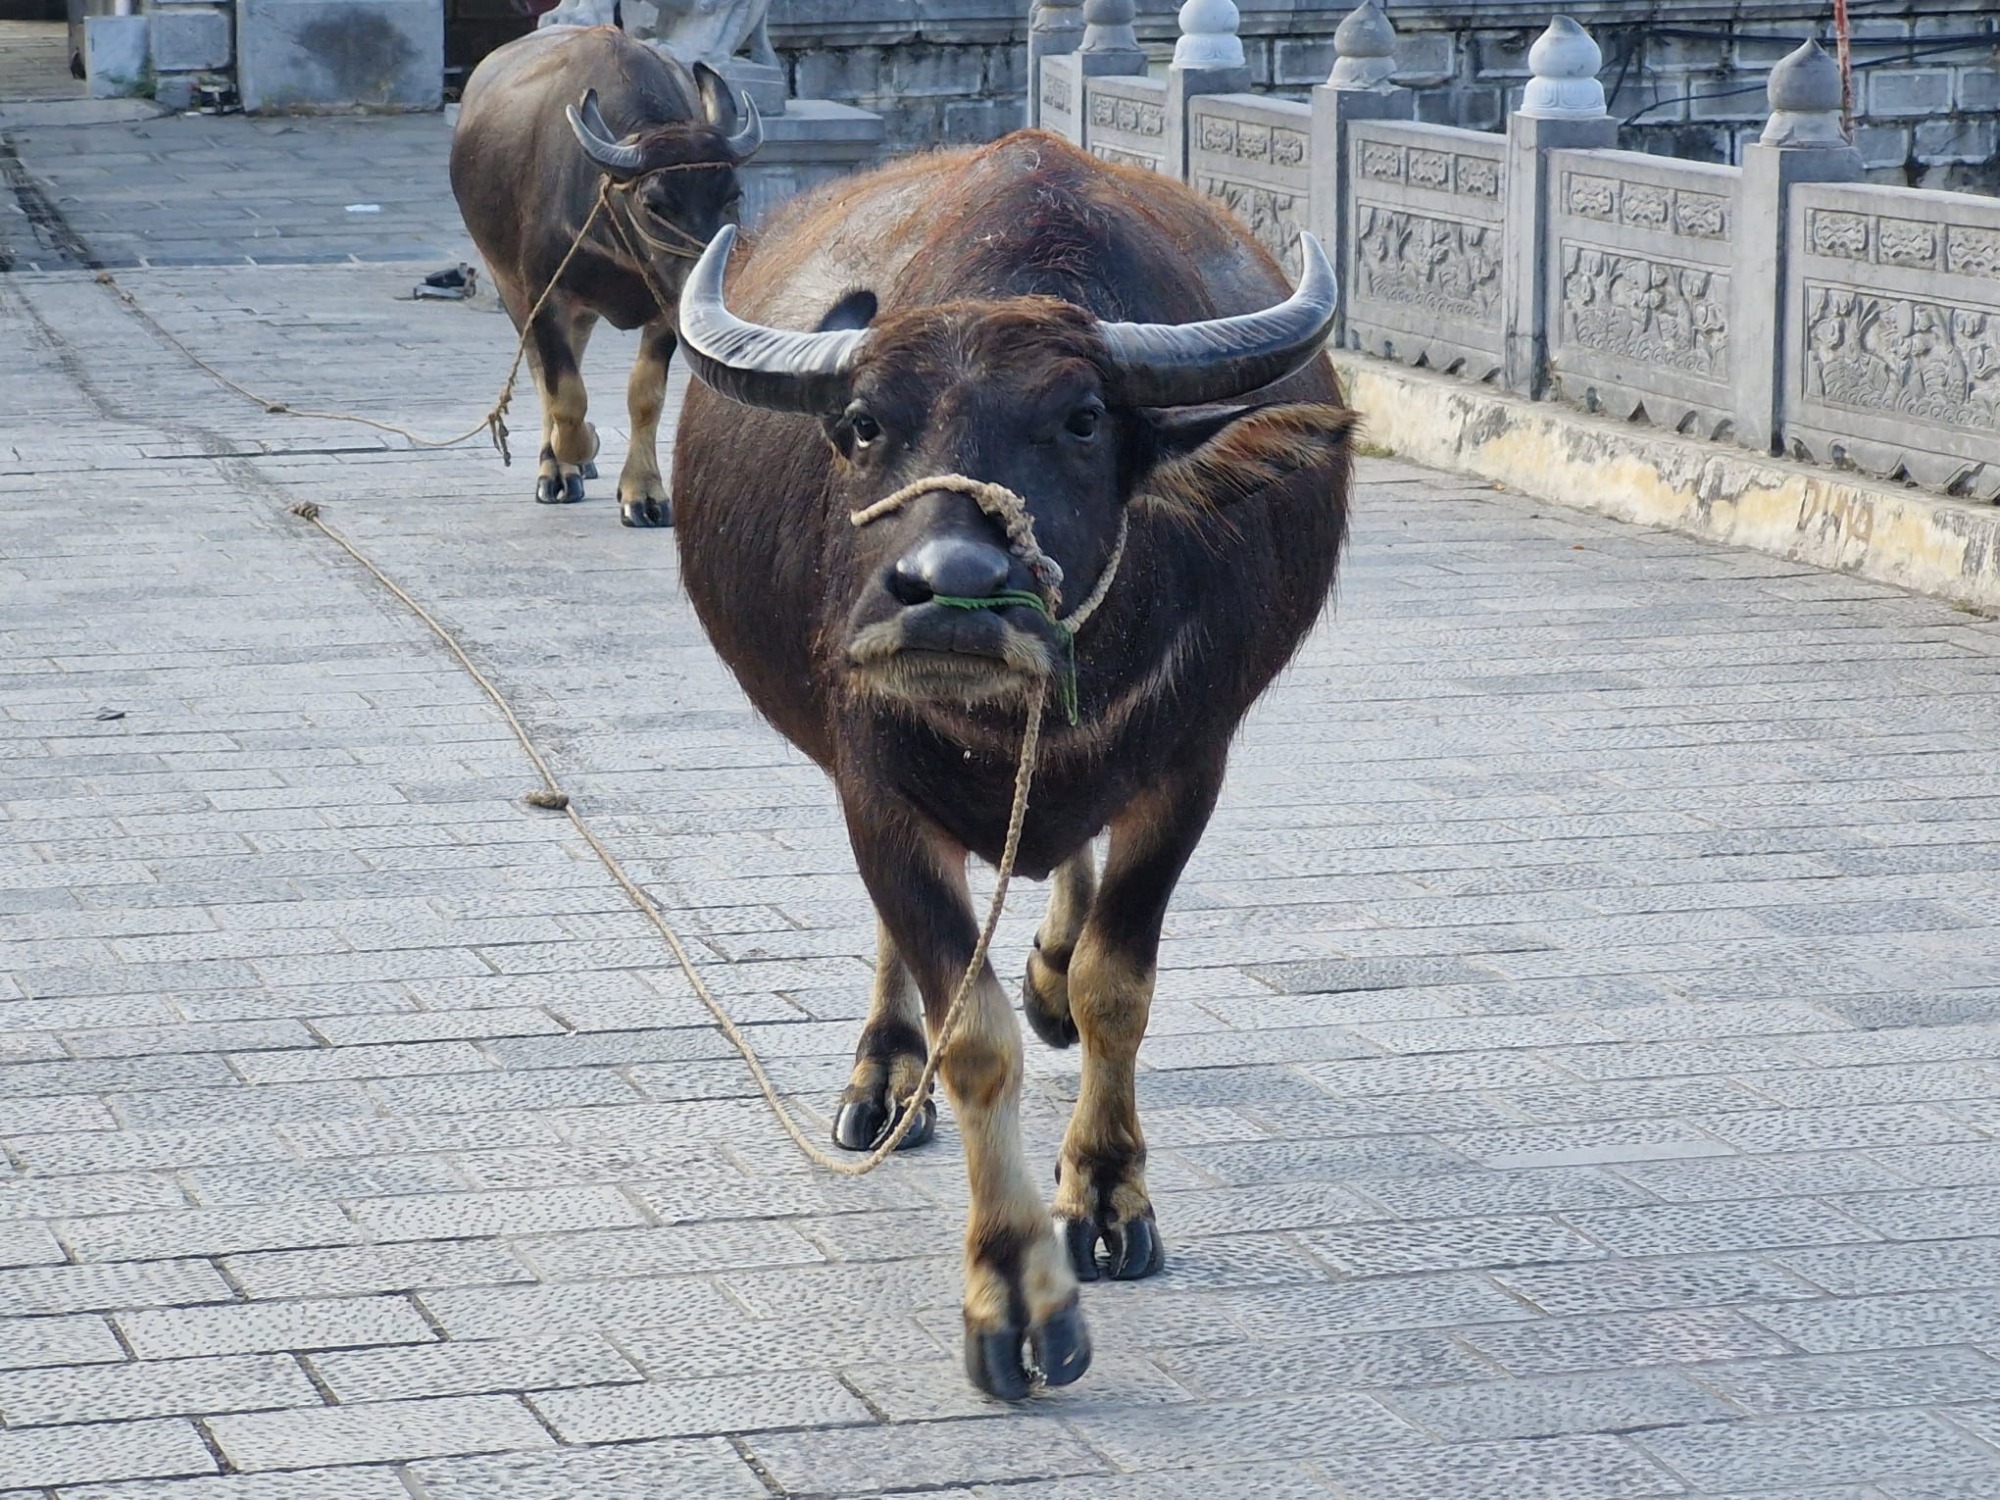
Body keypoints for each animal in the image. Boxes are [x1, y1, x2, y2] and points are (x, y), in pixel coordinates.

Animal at [451, 26, 761, 527]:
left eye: (733, 195)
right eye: (655, 203)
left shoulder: (667, 307)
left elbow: (645, 394)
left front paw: (644, 493)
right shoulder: (545, 295)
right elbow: (565, 395)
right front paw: (579, 448)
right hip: (508, 283)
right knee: (541, 372)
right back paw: (557, 467)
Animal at [669, 132, 1353, 1398]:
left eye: (1080, 419)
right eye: (860, 423)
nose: (944, 591)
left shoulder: (1189, 767)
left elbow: (1116, 986)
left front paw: (1107, 1195)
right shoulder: (871, 788)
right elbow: (973, 1036)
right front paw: (1016, 1294)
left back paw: (1043, 969)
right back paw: (885, 1076)